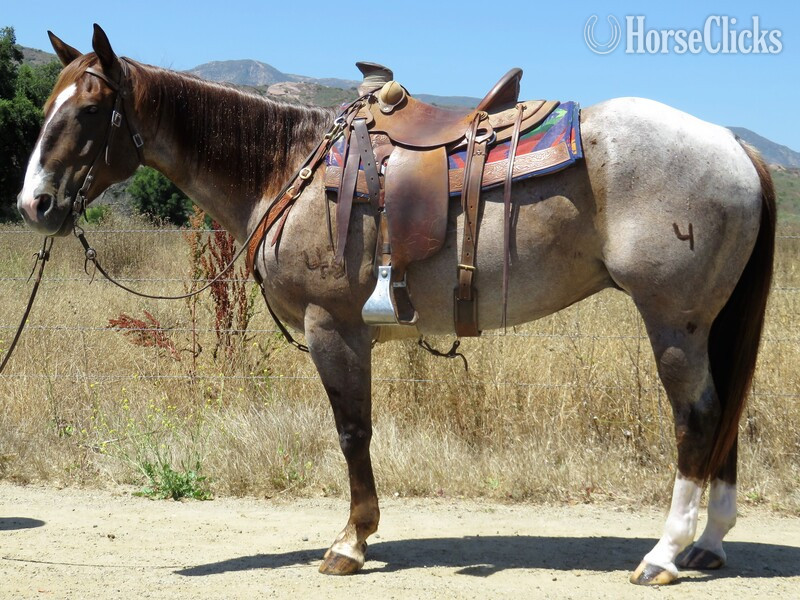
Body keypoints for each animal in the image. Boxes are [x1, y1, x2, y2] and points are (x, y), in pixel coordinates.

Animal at [17, 25, 775, 585]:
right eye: (50, 104)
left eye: (89, 109)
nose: (34, 205)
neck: (287, 167)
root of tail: (733, 145)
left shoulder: (335, 328)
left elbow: (353, 432)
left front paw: (351, 543)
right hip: (708, 324)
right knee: (725, 412)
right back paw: (708, 544)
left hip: (673, 319)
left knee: (697, 418)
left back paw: (664, 554)